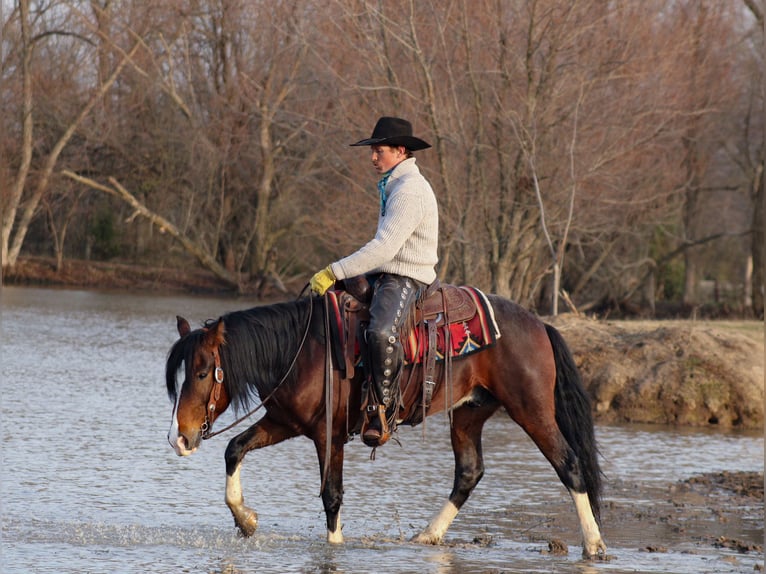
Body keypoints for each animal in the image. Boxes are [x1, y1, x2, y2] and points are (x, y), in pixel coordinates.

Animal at [165, 290, 607, 558]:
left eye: (202, 373)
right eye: (182, 374)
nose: (179, 439)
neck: (301, 351)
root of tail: (539, 325)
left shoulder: (328, 435)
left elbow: (331, 495)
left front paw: (335, 545)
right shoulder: (283, 422)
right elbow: (234, 449)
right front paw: (246, 520)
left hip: (531, 409)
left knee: (568, 464)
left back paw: (594, 544)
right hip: (469, 412)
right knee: (469, 471)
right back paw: (428, 535)